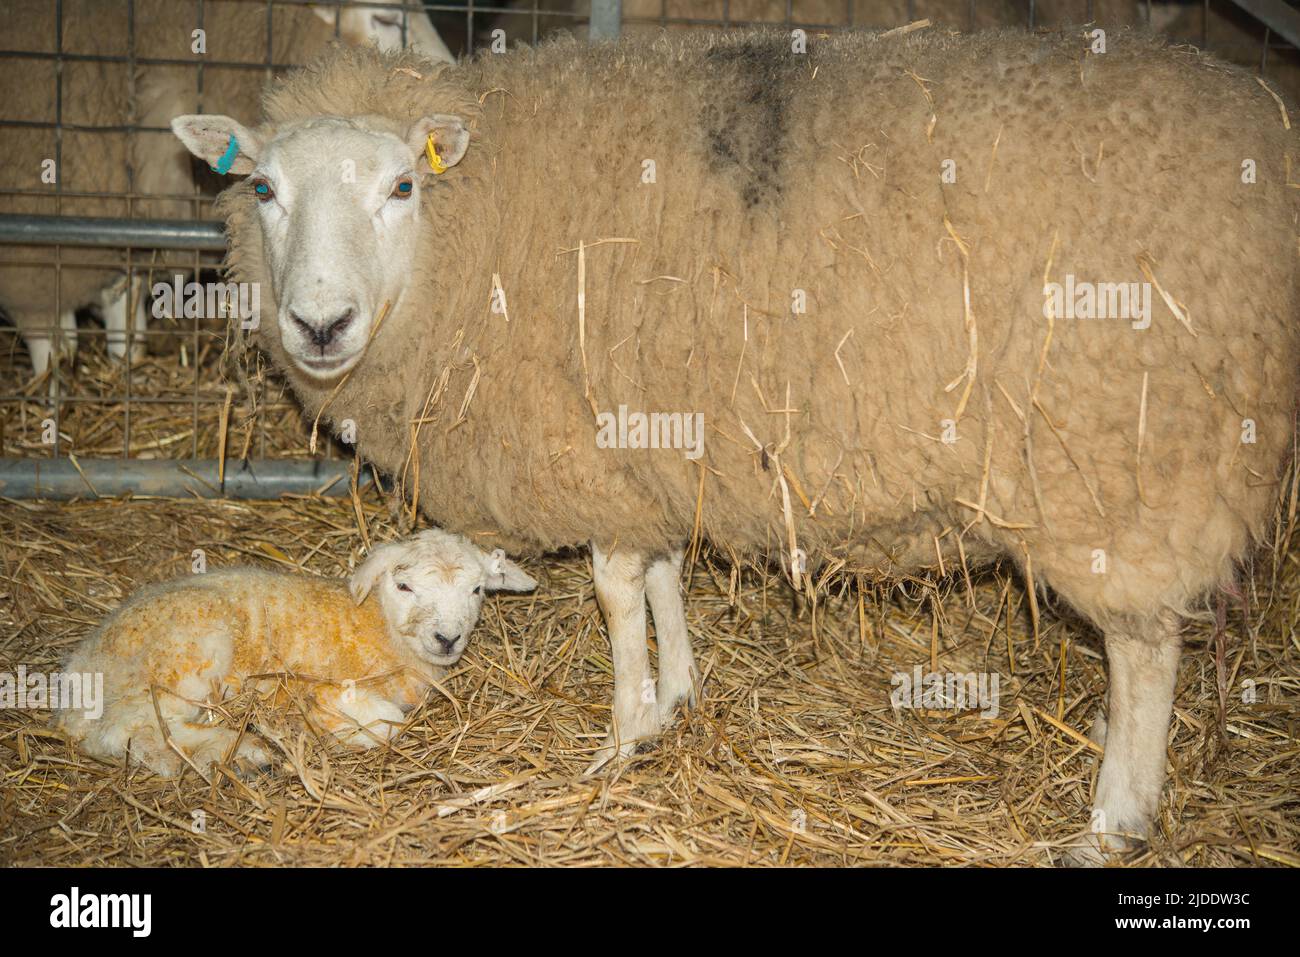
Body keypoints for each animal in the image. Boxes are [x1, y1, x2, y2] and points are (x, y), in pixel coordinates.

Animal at [55, 529, 537, 777]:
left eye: (476, 590)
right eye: (404, 586)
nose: (446, 638)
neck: (376, 623)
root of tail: (78, 680)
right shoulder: (331, 687)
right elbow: (389, 723)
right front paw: (325, 730)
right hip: (186, 655)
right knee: (126, 731)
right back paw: (239, 752)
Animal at [172, 30, 1300, 860]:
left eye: (403, 186)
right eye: (263, 190)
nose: (320, 325)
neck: (466, 238)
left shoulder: (596, 447)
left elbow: (617, 591)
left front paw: (622, 736)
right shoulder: (657, 441)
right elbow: (667, 570)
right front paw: (676, 697)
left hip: (1123, 461)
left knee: (1144, 648)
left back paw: (1113, 819)